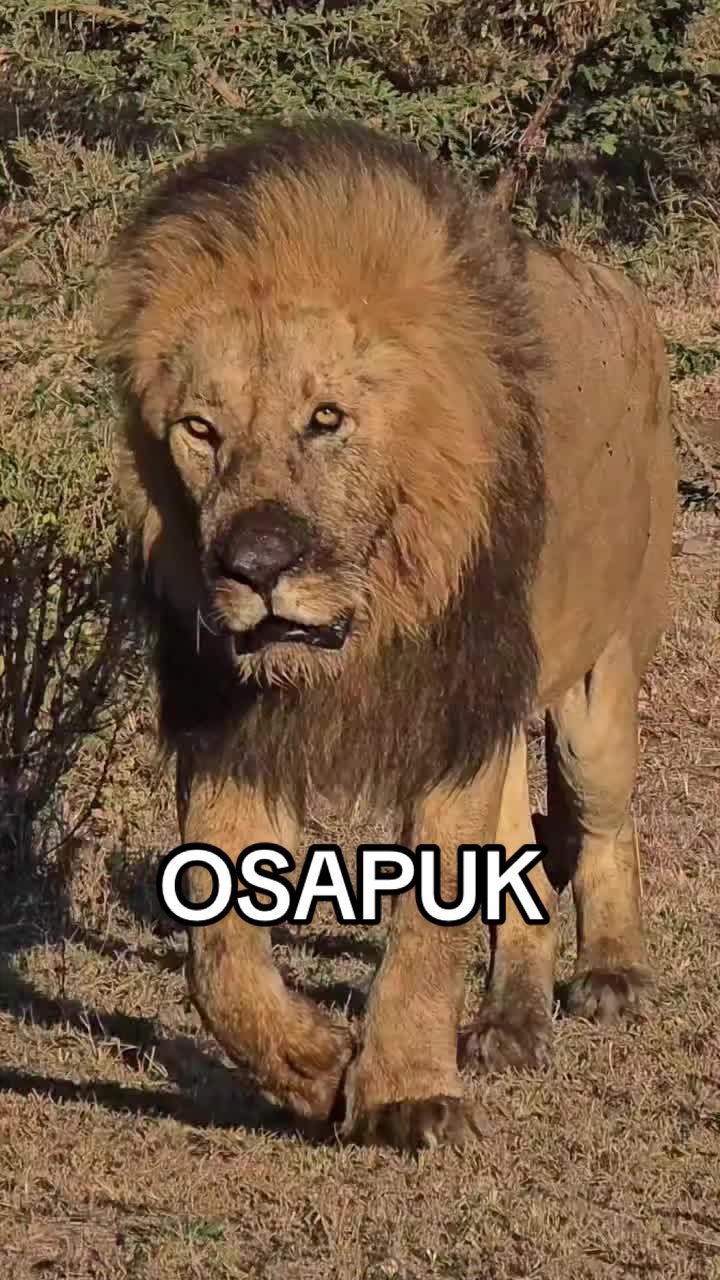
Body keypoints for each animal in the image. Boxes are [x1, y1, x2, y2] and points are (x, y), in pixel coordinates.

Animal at [99, 119, 677, 1151]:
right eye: (199, 430)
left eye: (327, 418)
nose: (255, 564)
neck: (367, 626)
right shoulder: (233, 723)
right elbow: (218, 957)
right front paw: (315, 1068)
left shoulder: (454, 700)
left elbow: (427, 920)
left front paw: (408, 1092)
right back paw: (510, 1021)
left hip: (599, 681)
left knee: (605, 815)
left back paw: (611, 974)